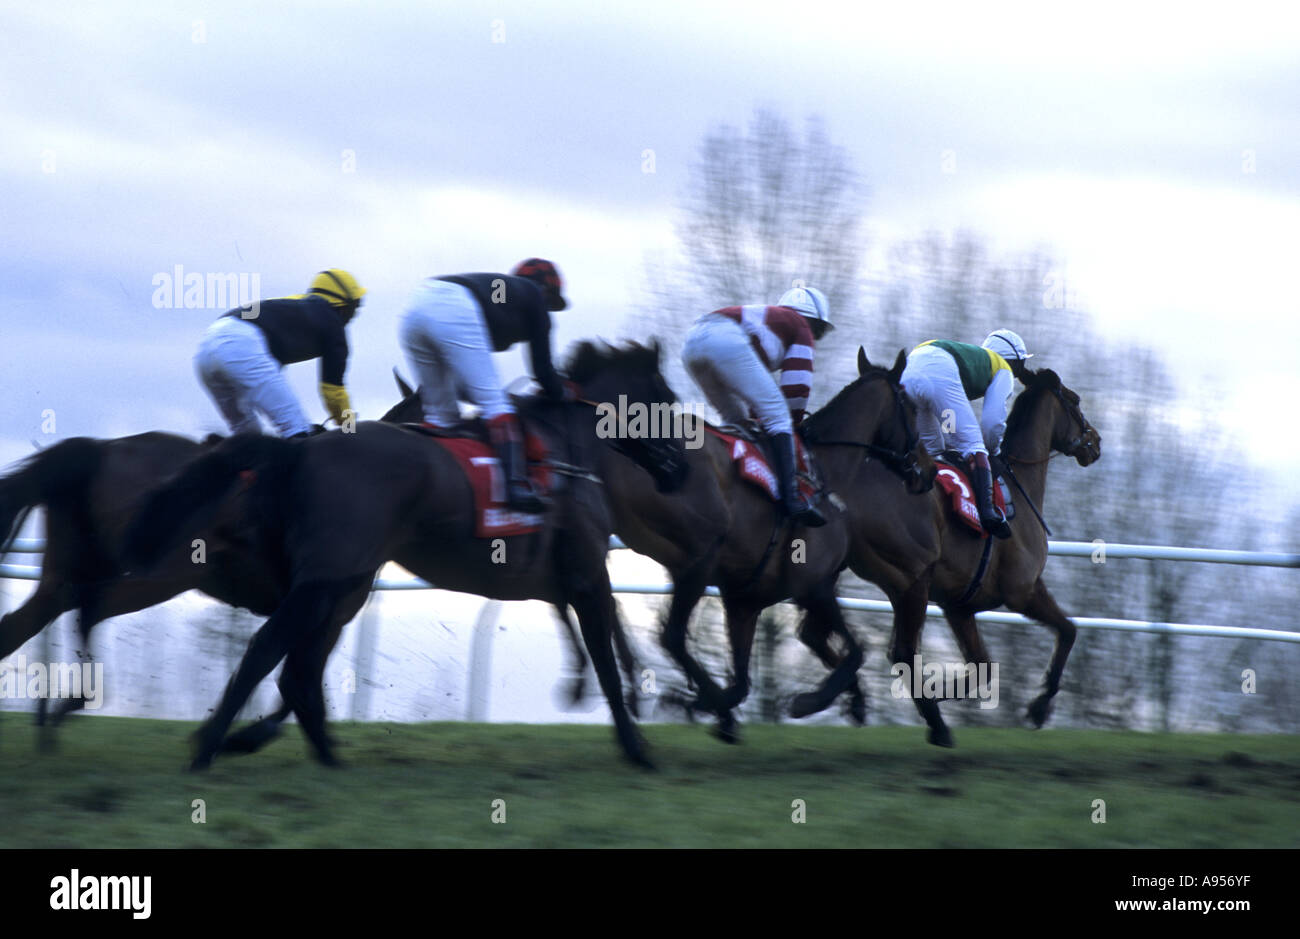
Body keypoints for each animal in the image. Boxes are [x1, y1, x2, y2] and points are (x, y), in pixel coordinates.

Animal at [122, 340, 691, 764]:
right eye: (667, 397)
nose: (680, 471)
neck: (566, 452)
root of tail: (301, 449)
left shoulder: (561, 582)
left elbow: (602, 638)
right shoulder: (587, 575)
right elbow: (607, 657)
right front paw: (637, 744)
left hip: (335, 584)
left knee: (296, 666)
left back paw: (310, 752)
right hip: (326, 581)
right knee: (271, 653)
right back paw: (214, 746)